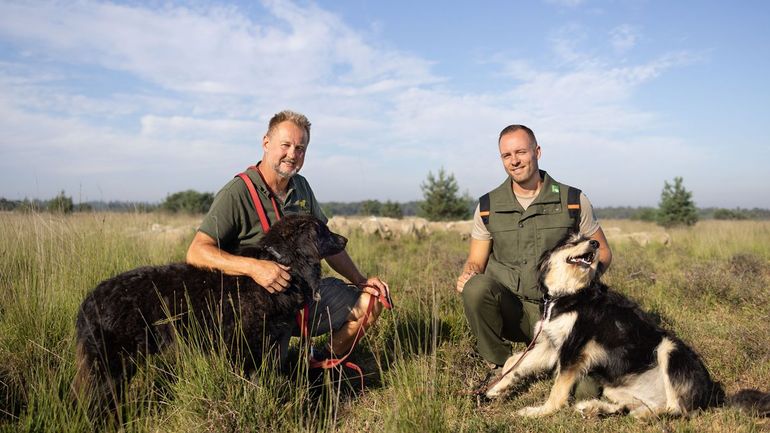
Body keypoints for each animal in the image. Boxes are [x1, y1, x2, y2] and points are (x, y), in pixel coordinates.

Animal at [73, 214, 344, 406]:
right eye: (324, 230)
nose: (345, 240)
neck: (281, 261)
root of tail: (89, 301)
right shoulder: (243, 347)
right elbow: (251, 383)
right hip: (111, 365)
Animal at [486, 233, 768, 418]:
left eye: (585, 238)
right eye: (572, 241)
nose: (595, 243)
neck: (570, 294)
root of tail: (713, 395)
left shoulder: (573, 351)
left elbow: (557, 392)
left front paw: (538, 412)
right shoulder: (549, 345)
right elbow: (513, 364)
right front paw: (495, 389)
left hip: (669, 349)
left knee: (674, 410)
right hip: (614, 387)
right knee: (639, 406)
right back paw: (595, 407)